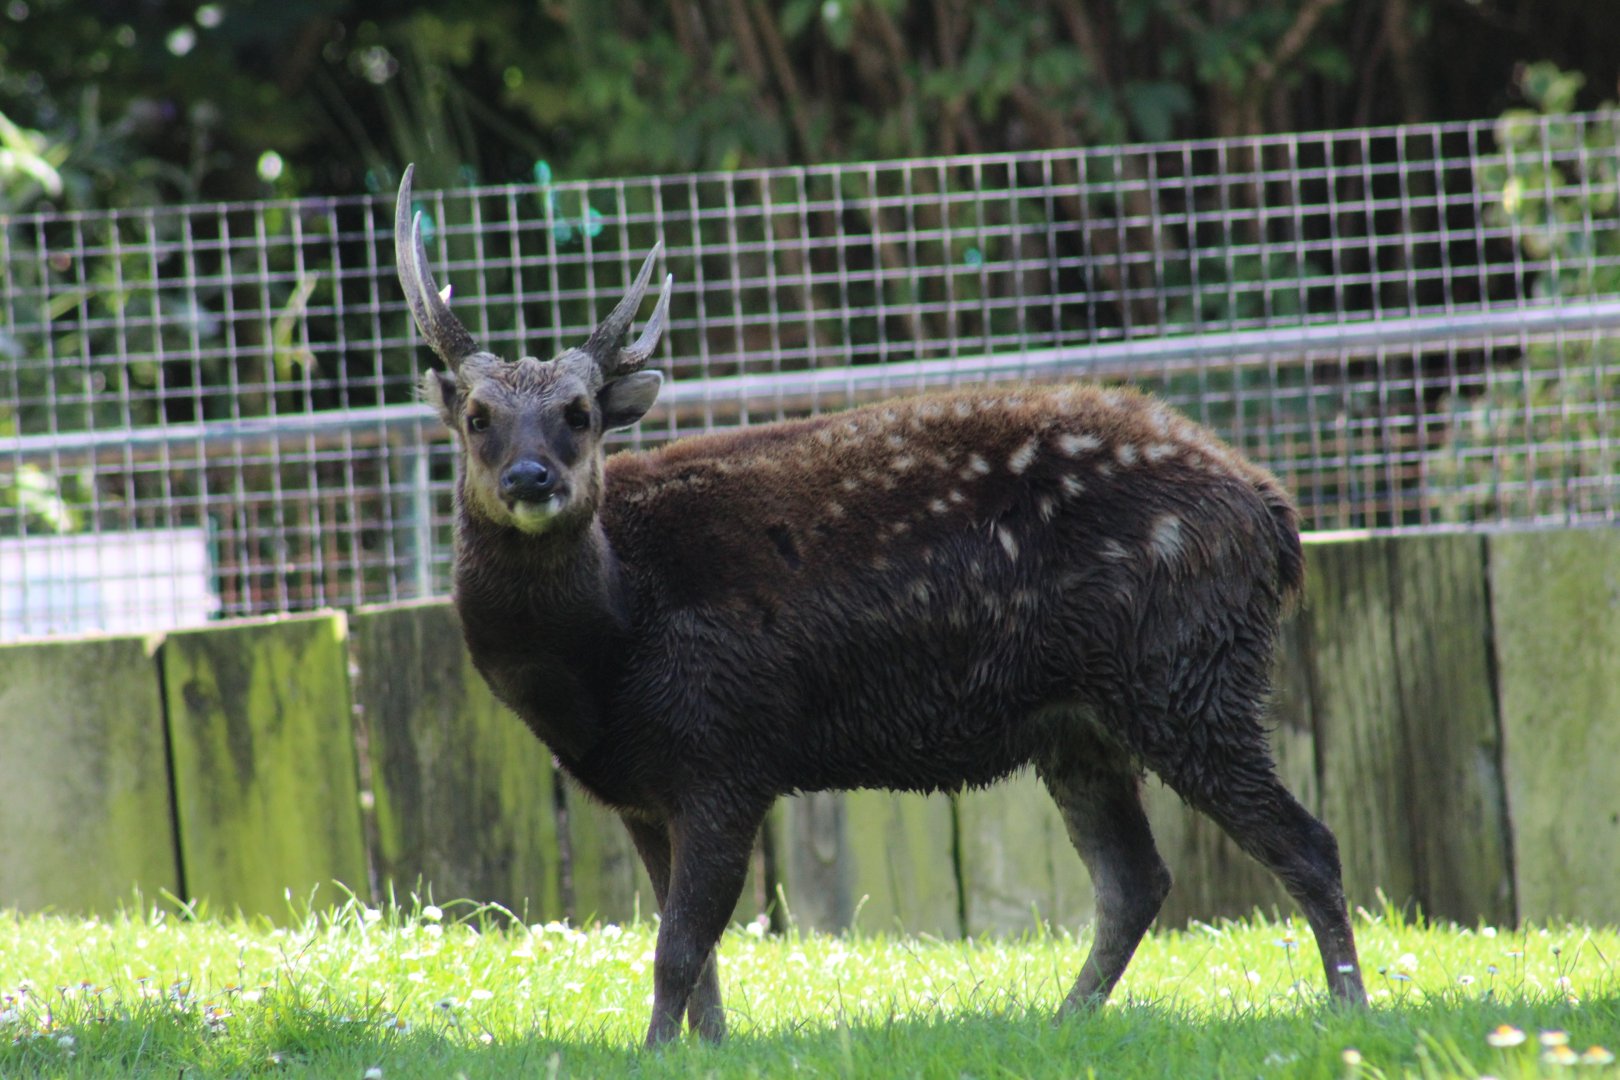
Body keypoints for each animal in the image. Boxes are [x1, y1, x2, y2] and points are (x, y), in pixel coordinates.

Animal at [393, 165, 1366, 1046]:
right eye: (477, 415)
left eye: (581, 413)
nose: (531, 478)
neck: (608, 648)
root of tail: (1274, 517)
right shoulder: (643, 789)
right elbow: (700, 964)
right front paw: (700, 1051)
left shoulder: (727, 747)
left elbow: (678, 949)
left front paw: (657, 1051)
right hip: (1081, 727)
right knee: (1137, 880)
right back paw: (1061, 1022)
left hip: (1185, 675)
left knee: (1309, 843)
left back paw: (1349, 1007)